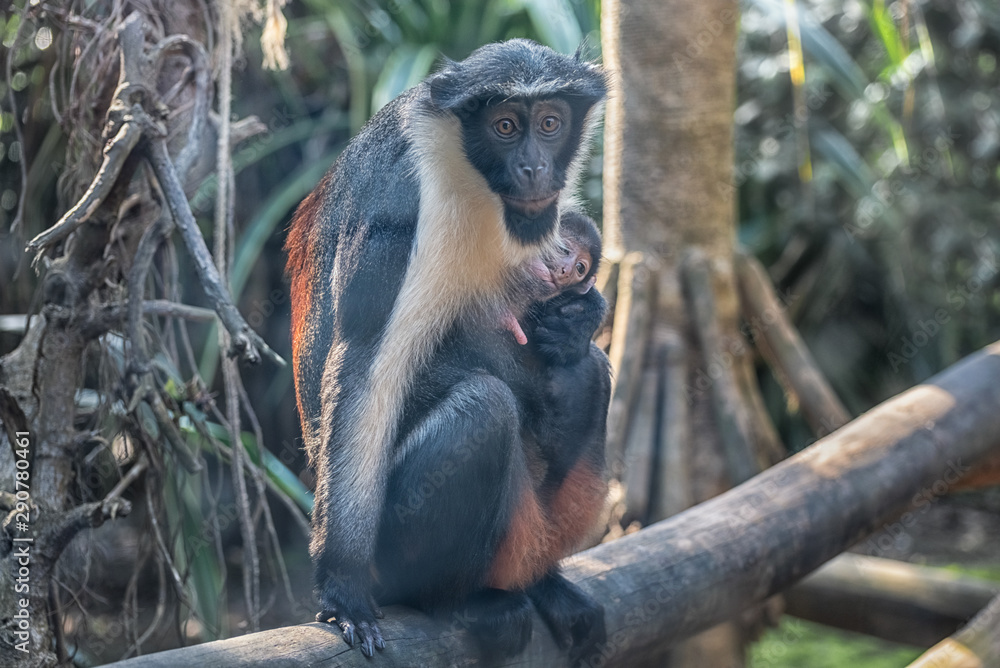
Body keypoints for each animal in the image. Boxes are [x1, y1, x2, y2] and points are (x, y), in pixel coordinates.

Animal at [285, 40, 609, 663]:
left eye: (550, 122)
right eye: (505, 126)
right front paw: (342, 590)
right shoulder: (401, 201)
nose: (535, 168)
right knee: (484, 408)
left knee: (593, 371)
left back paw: (542, 584)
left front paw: (580, 318)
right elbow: (363, 367)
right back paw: (462, 602)